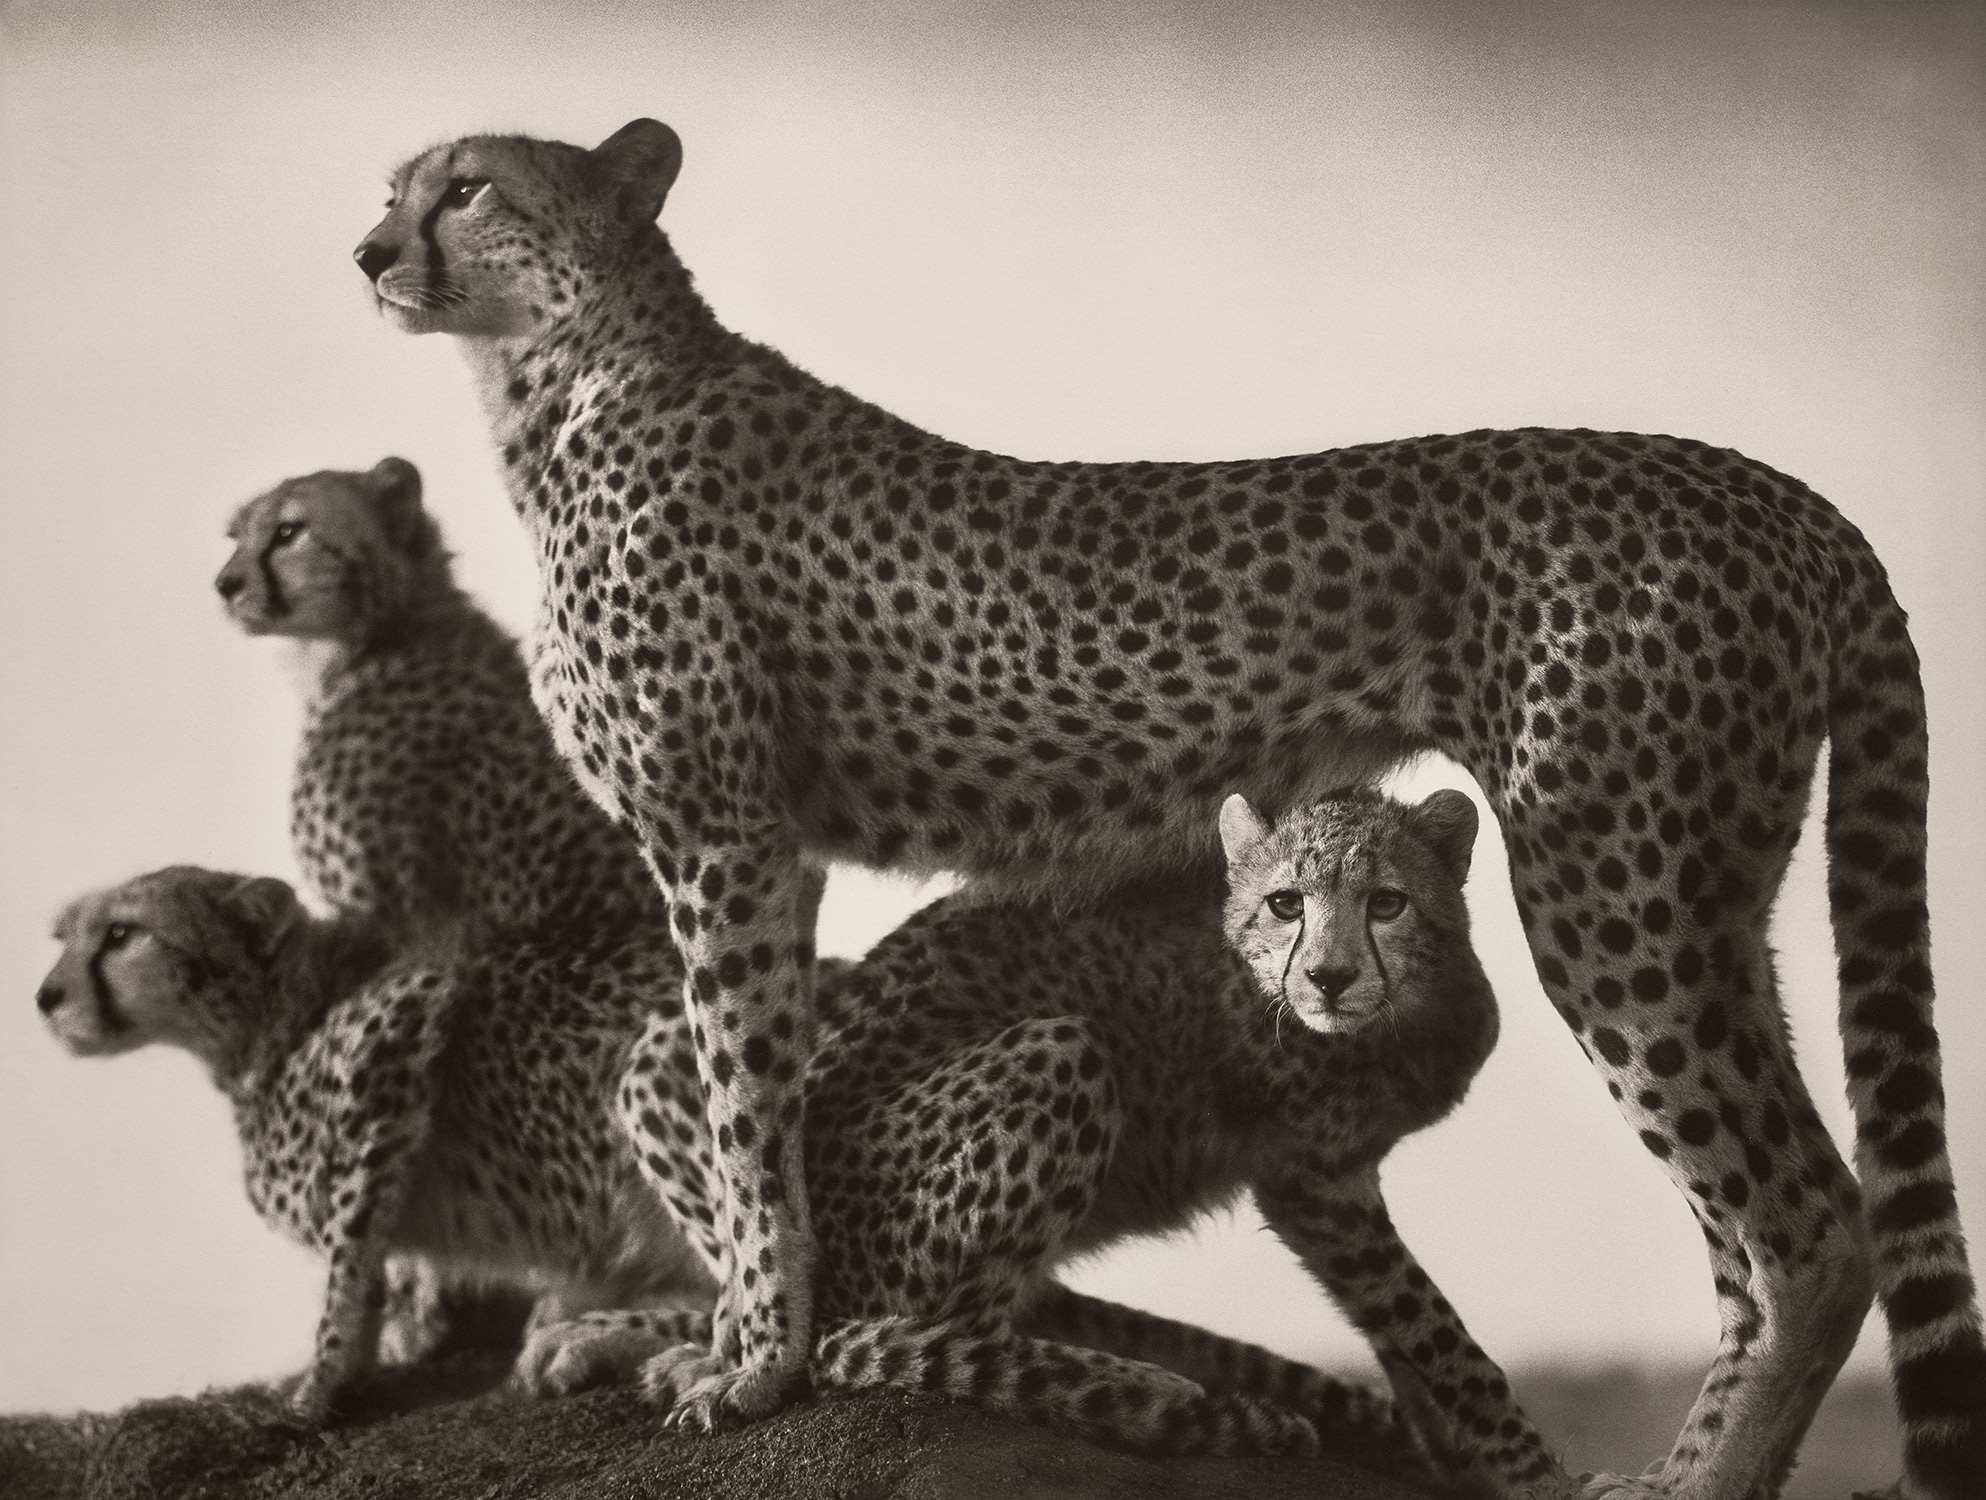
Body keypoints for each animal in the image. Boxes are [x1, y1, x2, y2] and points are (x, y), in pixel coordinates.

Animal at [35, 865, 716, 1422]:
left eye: (121, 934)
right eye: (62, 938)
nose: (44, 997)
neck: (278, 1009)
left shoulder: (404, 1012)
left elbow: (350, 1252)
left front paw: (320, 1384)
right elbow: (393, 1267)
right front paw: (404, 1333)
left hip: (653, 1066)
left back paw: (623, 1345)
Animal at [352, 116, 1984, 1498]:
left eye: (469, 187)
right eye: (398, 185)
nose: (366, 252)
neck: (558, 381)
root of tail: (1779, 490)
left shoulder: (724, 835)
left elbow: (745, 1109)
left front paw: (753, 1361)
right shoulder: (753, 855)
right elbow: (738, 1099)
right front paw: (727, 1334)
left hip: (1609, 890)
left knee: (1807, 1225)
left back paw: (1698, 1474)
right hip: (1714, 893)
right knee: (1756, 1223)